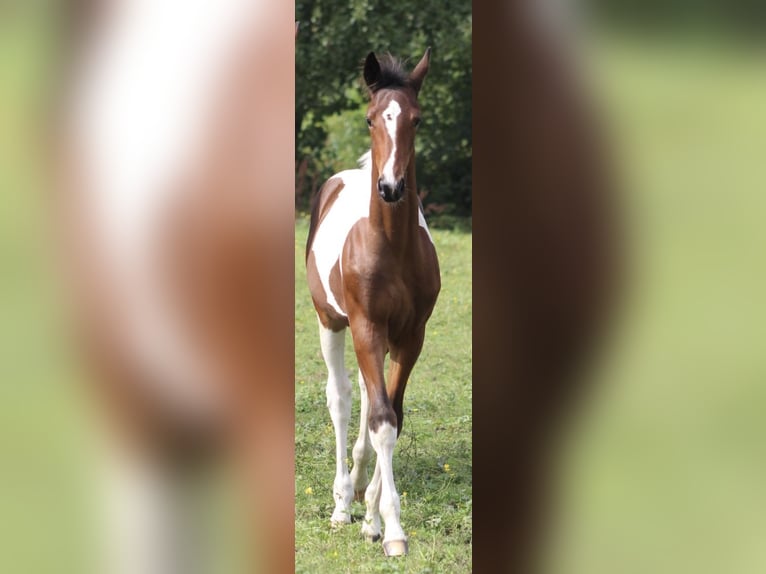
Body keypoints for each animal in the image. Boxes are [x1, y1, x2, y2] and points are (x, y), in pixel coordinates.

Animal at [305, 49, 441, 557]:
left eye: (417, 120)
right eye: (369, 118)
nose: (391, 188)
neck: (392, 247)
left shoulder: (409, 335)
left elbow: (391, 416)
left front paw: (376, 520)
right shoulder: (364, 325)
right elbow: (380, 418)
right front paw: (392, 527)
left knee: (365, 396)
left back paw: (361, 503)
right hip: (330, 322)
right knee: (342, 398)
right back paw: (342, 503)